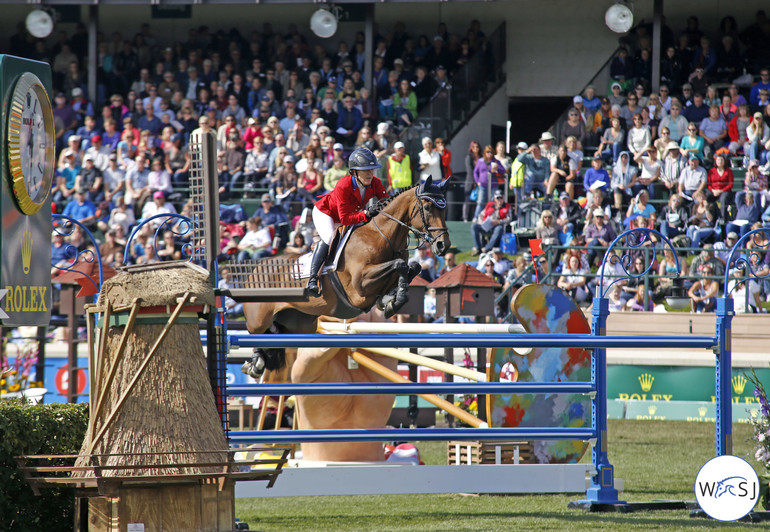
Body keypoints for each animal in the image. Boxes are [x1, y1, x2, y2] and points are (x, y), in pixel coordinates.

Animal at [242, 177, 450, 376]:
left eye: (445, 208)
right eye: (428, 208)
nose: (443, 245)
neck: (380, 235)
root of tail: (254, 272)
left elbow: (411, 266)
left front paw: (392, 300)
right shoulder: (360, 285)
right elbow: (399, 265)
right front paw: (395, 300)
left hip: (300, 325)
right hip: (259, 319)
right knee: (256, 334)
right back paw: (255, 364)